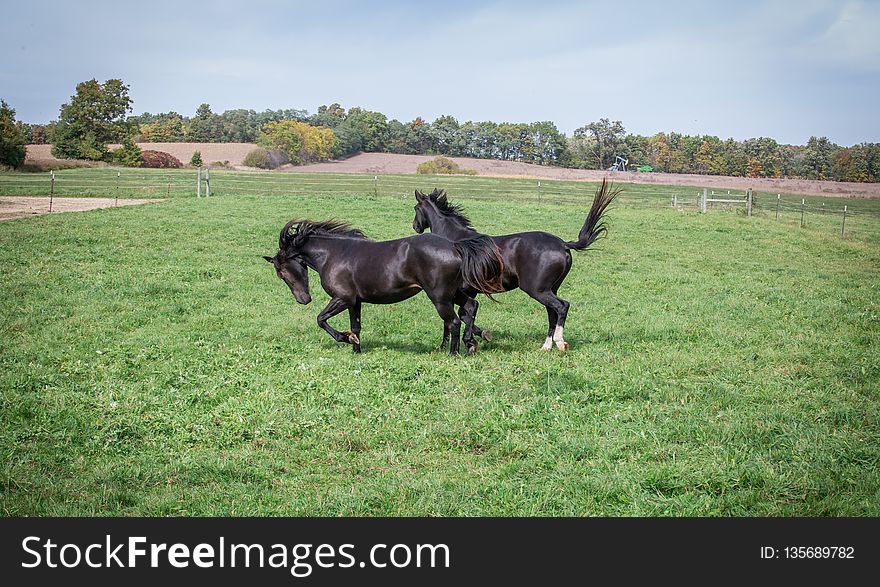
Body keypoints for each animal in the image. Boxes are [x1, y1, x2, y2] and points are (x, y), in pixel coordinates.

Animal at [262, 220, 502, 356]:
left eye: (281, 273)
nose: (303, 299)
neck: (333, 254)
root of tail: (454, 246)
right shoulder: (355, 301)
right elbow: (356, 326)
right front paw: (356, 349)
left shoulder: (342, 298)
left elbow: (321, 319)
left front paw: (345, 338)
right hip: (455, 294)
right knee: (470, 307)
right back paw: (471, 344)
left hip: (440, 297)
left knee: (453, 322)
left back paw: (453, 353)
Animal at [412, 179, 620, 352]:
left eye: (415, 208)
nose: (416, 226)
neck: (455, 239)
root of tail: (563, 244)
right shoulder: (467, 291)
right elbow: (465, 314)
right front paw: (477, 337)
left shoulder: (457, 290)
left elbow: (459, 316)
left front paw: (458, 342)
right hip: (549, 289)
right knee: (552, 313)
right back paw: (546, 347)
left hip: (537, 290)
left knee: (562, 306)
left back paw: (560, 342)